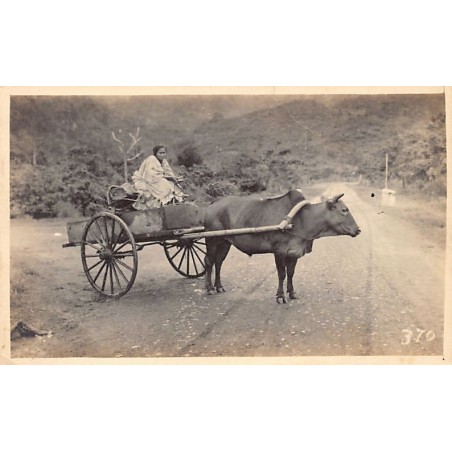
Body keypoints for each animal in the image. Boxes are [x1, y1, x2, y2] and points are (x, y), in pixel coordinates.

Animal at [203, 189, 361, 303]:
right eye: (344, 210)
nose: (358, 230)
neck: (302, 220)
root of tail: (213, 203)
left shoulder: (294, 252)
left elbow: (290, 273)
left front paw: (292, 293)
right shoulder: (279, 252)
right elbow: (282, 274)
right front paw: (280, 296)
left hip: (225, 242)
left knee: (218, 262)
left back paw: (219, 286)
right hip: (212, 240)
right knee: (209, 261)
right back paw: (209, 288)